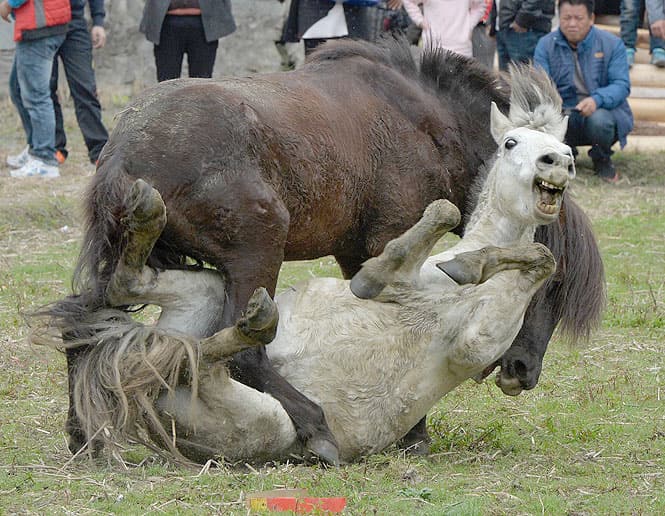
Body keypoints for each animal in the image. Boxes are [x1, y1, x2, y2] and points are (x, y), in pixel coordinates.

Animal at [55, 38, 604, 462]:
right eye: (553, 285)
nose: (523, 372)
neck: (421, 122)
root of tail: (125, 151)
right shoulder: (381, 245)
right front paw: (414, 435)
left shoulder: (352, 252)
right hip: (257, 253)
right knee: (241, 350)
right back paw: (313, 426)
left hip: (155, 266)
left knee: (83, 319)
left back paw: (86, 437)